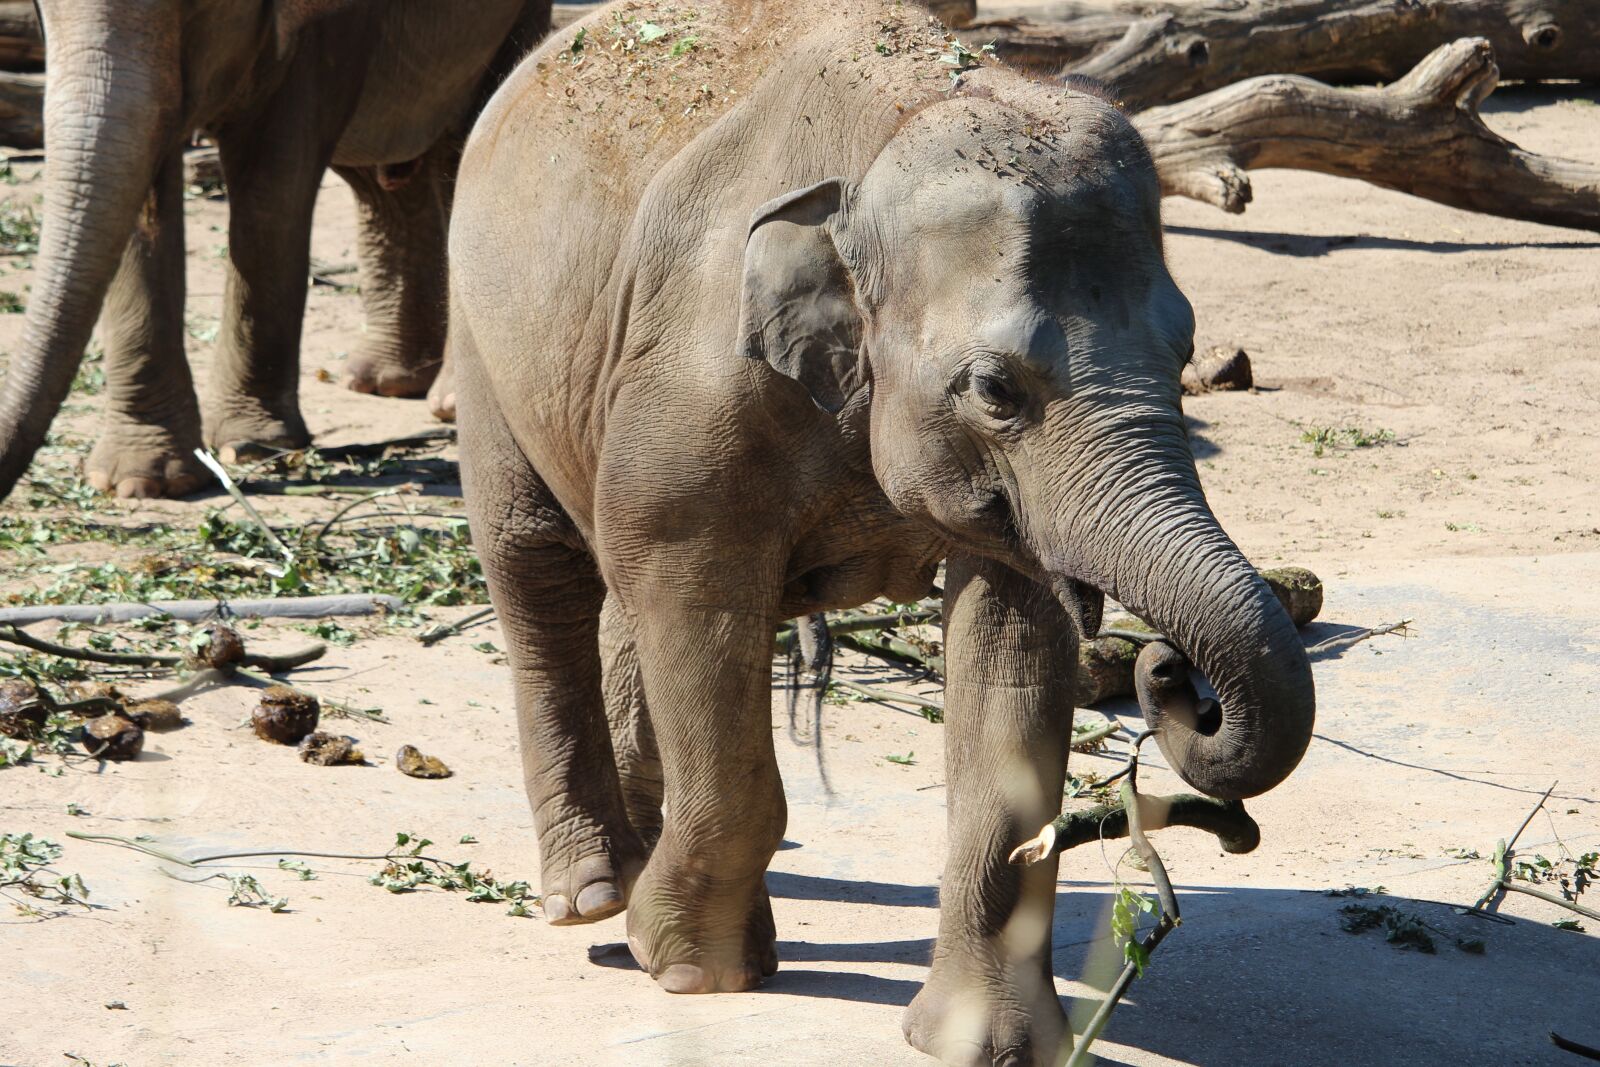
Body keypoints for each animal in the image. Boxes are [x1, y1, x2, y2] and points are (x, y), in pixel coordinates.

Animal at [0, 0, 550, 501]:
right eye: (45, 10)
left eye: (190, 8)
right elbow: (144, 196)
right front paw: (140, 483)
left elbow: (273, 183)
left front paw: (252, 446)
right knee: (382, 176)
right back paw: (379, 381)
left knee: (462, 143)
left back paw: (449, 403)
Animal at [447, 0, 1316, 1063]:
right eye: (996, 389)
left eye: (1186, 350)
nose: (1169, 673)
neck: (899, 126)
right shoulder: (693, 379)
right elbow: (696, 595)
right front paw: (689, 969)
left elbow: (1009, 649)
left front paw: (984, 1043)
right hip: (488, 336)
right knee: (541, 567)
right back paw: (594, 892)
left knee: (615, 589)